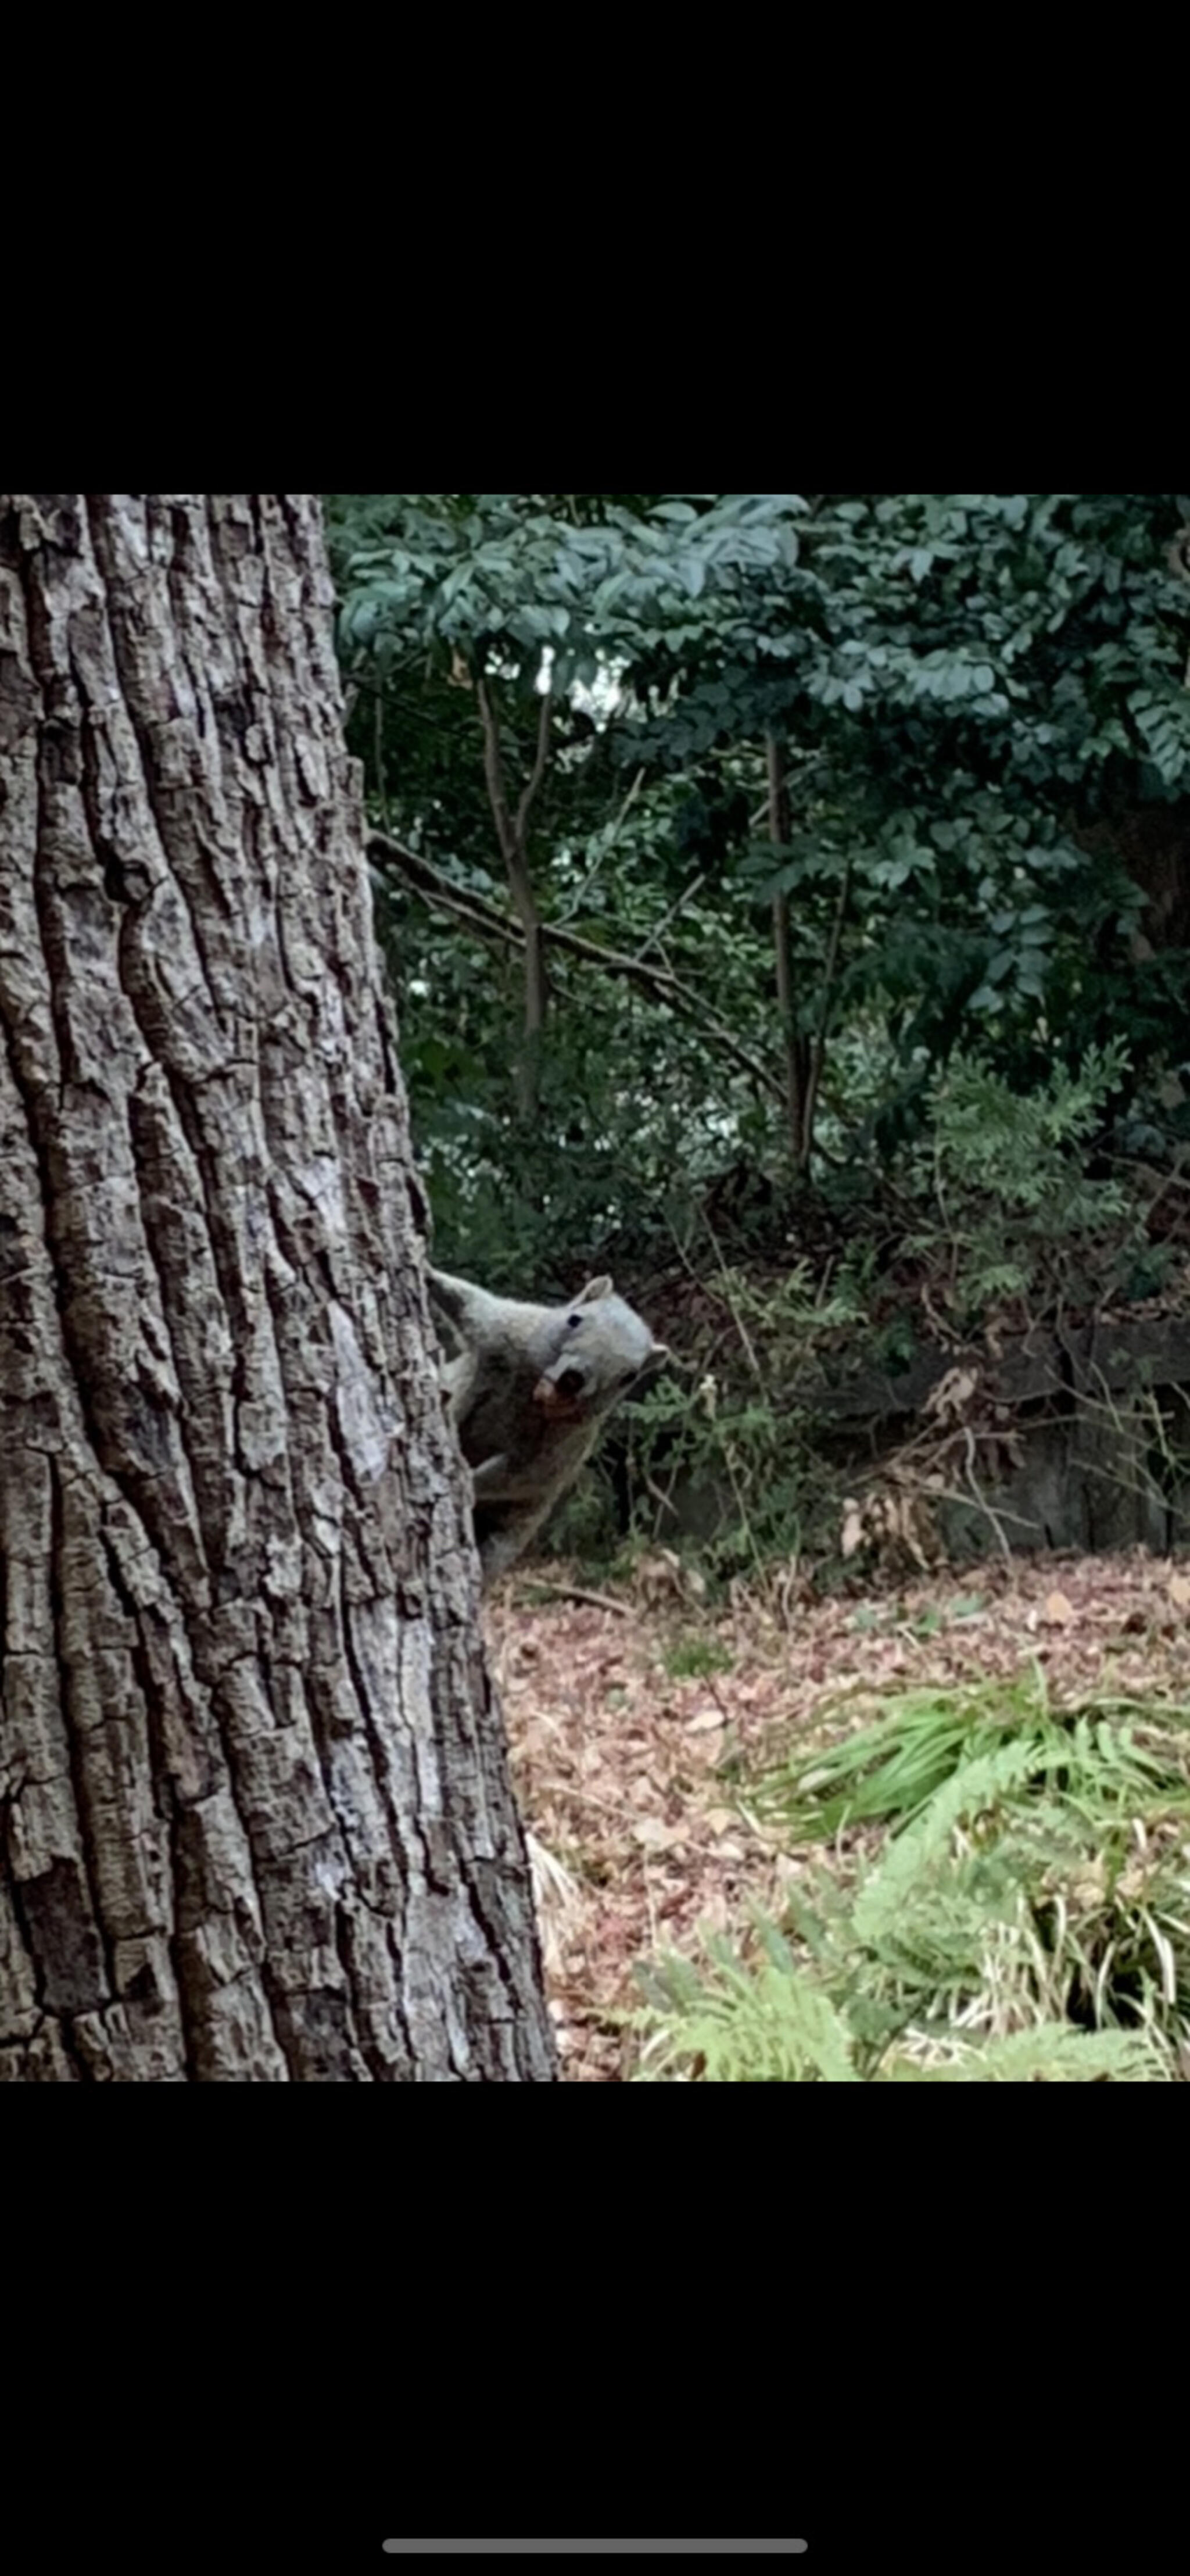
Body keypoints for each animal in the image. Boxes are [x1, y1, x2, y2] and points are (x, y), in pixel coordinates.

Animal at [427, 1262, 669, 1576]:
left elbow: (522, 1476)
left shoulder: (564, 1445)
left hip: (508, 1535)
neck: (533, 1394)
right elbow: (471, 1307)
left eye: (629, 1376)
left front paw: (468, 1481)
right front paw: (427, 1271)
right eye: (574, 1320)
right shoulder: (509, 1334)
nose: (573, 1378)